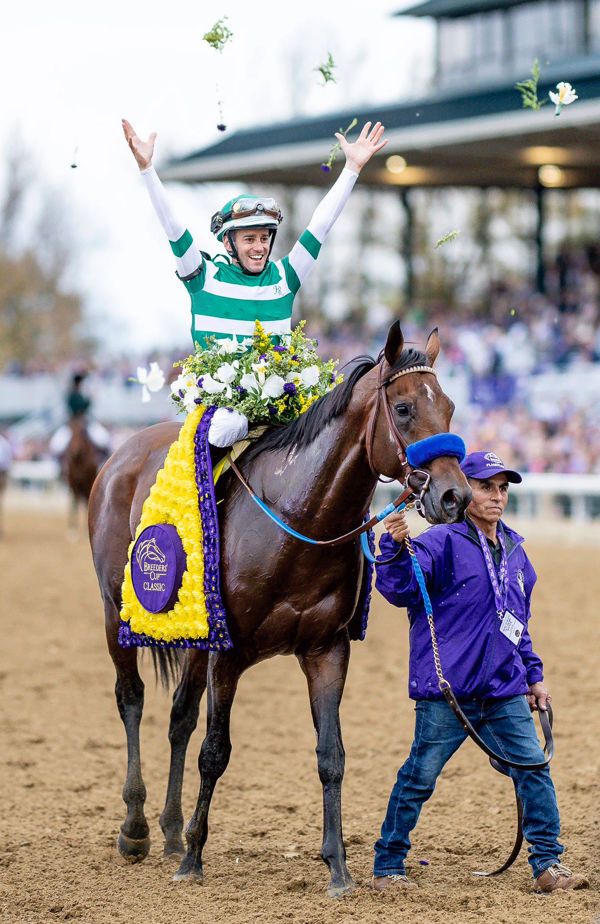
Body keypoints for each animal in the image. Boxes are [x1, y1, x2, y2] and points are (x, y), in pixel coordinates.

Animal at [86, 324, 472, 896]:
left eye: (447, 406)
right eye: (403, 408)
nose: (455, 497)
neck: (297, 520)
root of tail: (121, 455)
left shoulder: (326, 650)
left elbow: (331, 756)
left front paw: (338, 867)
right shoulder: (230, 654)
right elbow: (214, 751)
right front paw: (194, 860)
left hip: (195, 638)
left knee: (179, 717)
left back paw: (173, 829)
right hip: (118, 614)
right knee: (131, 700)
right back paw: (136, 828)